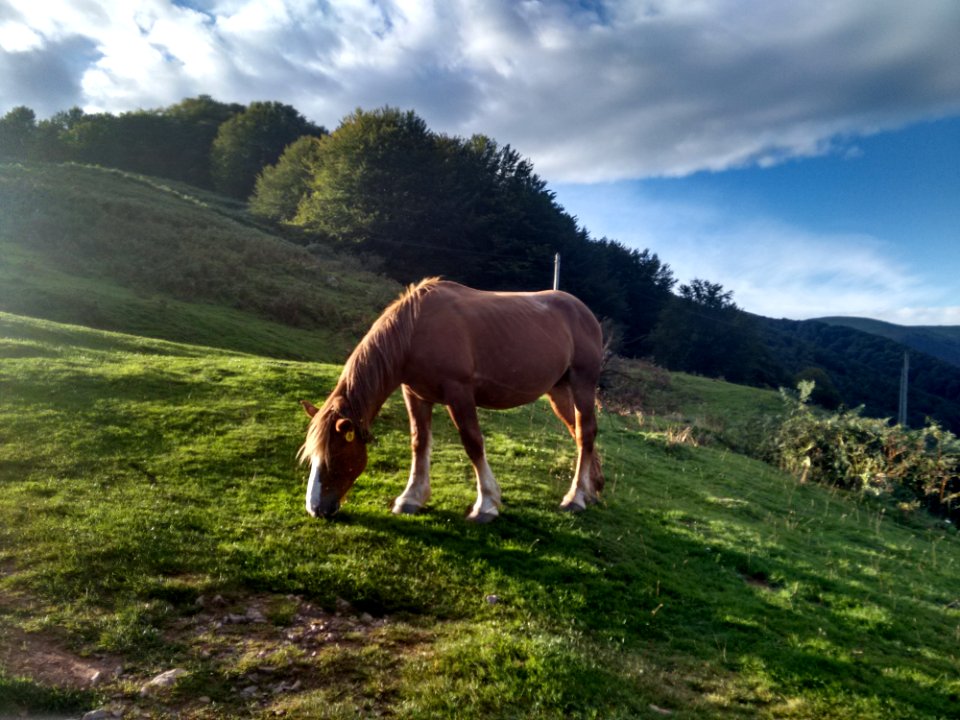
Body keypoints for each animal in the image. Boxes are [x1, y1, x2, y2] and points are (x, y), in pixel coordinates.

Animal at [296, 278, 604, 524]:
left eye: (334, 456)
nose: (316, 509)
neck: (415, 330)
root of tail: (585, 312)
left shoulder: (459, 393)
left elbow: (473, 444)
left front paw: (486, 505)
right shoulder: (415, 395)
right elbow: (419, 443)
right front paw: (410, 498)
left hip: (582, 384)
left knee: (585, 433)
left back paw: (575, 498)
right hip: (559, 391)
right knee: (579, 434)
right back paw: (591, 490)